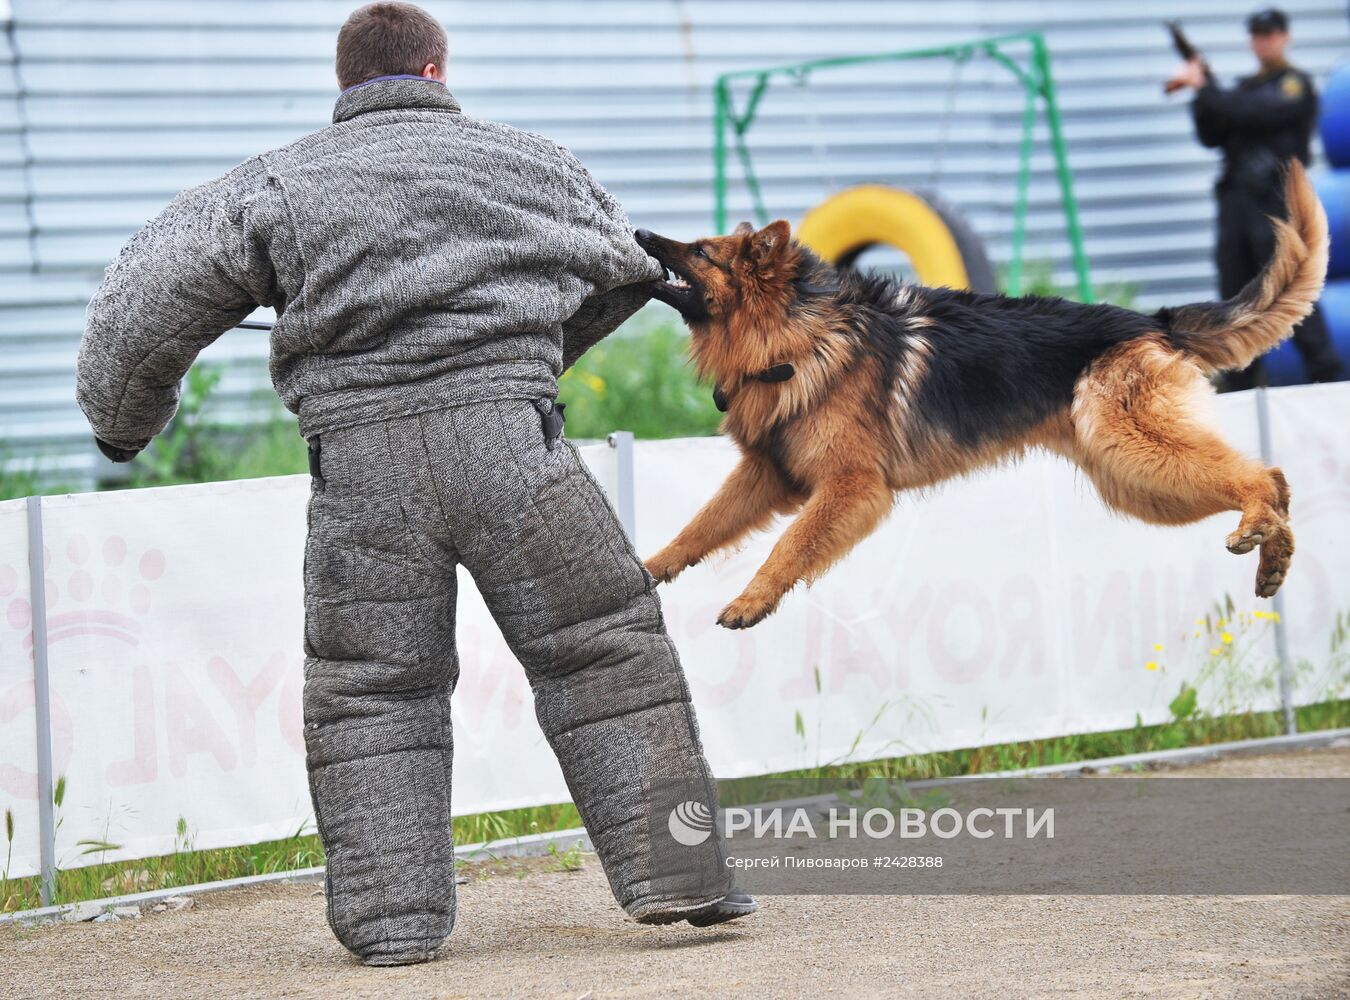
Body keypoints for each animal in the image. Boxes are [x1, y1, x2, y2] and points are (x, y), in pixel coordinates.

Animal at [634, 163, 1328, 631]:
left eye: (700, 251)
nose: (639, 231)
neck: (794, 335)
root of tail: (1153, 320)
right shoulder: (766, 474)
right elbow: (700, 526)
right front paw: (649, 568)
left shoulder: (851, 488)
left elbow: (789, 545)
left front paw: (751, 601)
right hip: (1134, 482)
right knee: (1277, 482)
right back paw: (1274, 558)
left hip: (1132, 450)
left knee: (1262, 475)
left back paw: (1259, 528)